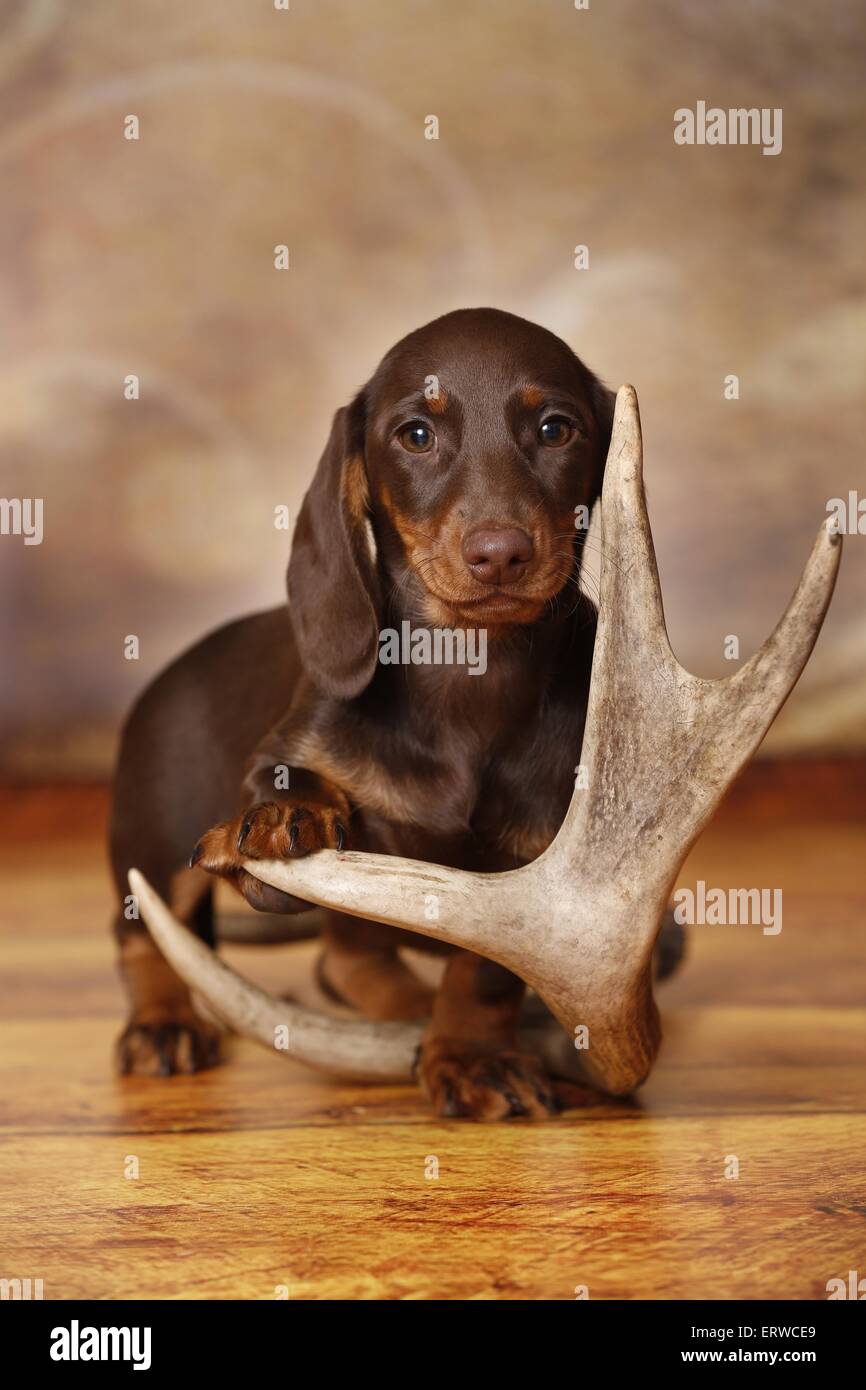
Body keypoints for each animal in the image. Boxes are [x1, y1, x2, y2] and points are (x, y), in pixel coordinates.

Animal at [109, 312, 683, 1117]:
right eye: (416, 434)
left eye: (556, 428)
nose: (500, 553)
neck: (468, 675)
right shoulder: (292, 747)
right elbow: (286, 783)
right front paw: (279, 818)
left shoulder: (536, 868)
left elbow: (485, 971)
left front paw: (472, 1057)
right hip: (155, 838)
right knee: (143, 929)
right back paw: (164, 1023)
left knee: (350, 958)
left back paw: (407, 1010)